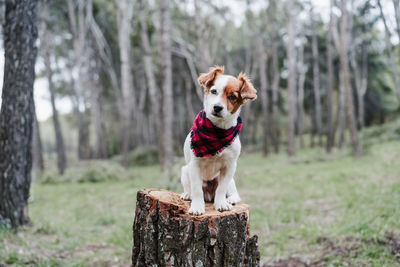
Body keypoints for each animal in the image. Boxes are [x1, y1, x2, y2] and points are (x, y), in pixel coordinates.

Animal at [180, 66, 256, 216]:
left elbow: (221, 188)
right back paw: (187, 195)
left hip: (231, 180)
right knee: (191, 188)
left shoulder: (230, 166)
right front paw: (197, 206)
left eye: (232, 96)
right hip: (185, 170)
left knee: (232, 192)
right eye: (214, 91)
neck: (216, 132)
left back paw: (231, 199)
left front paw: (221, 203)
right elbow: (197, 189)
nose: (217, 107)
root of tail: (209, 195)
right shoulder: (194, 165)